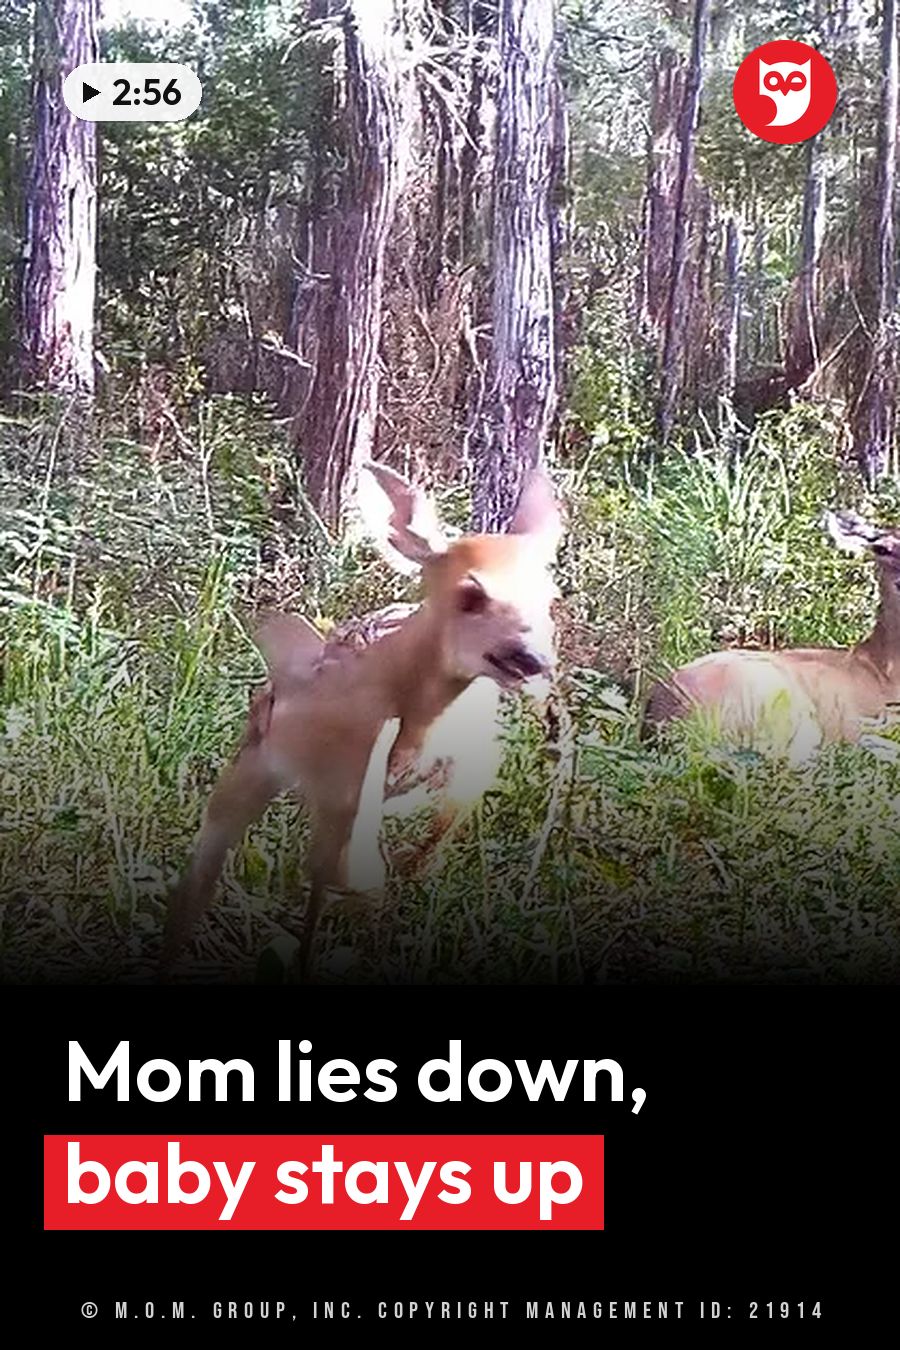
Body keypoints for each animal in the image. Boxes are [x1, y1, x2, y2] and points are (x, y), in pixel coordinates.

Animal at [161, 462, 562, 976]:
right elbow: (353, 874)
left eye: (549, 595)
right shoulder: (339, 784)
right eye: (471, 594)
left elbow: (422, 852)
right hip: (257, 766)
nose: (533, 658)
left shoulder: (468, 776)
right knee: (202, 877)